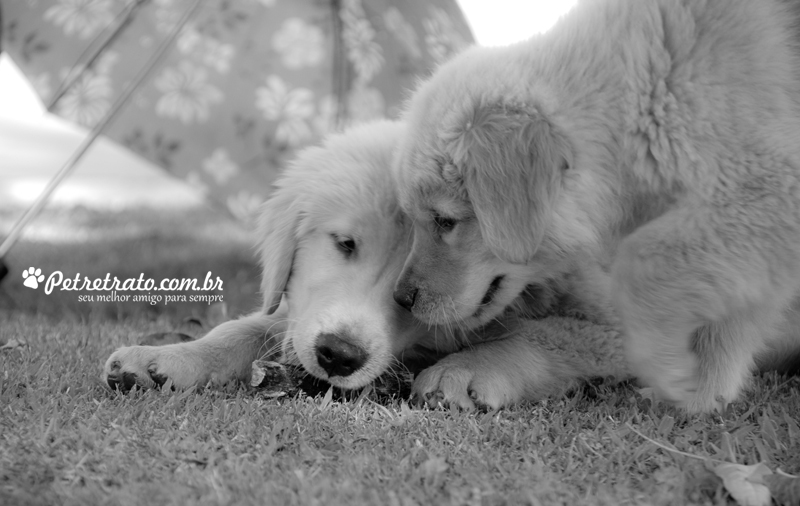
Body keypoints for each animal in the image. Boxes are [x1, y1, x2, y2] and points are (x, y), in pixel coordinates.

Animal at [103, 118, 632, 408]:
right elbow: (243, 328)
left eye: (409, 295)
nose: (338, 355)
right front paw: (164, 359)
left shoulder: (620, 325)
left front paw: (468, 368)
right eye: (344, 243)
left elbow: (548, 334)